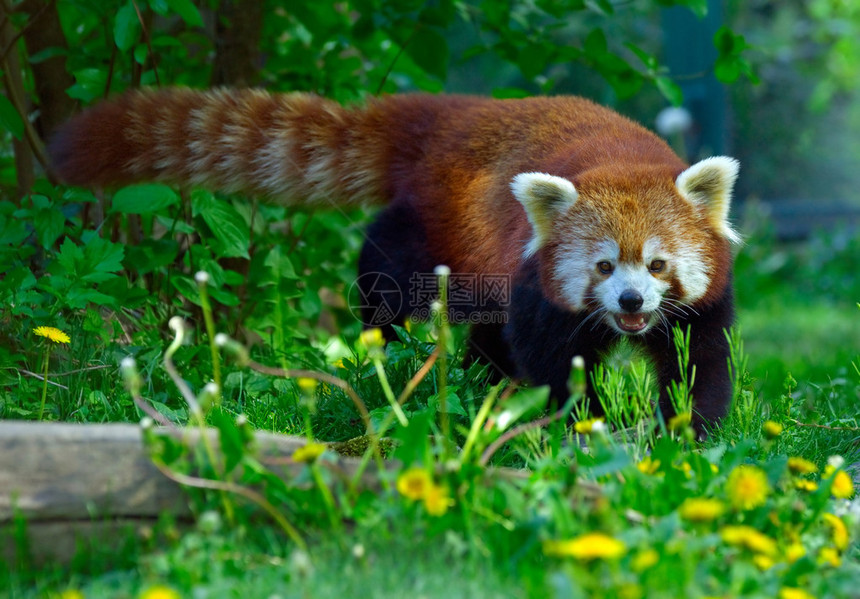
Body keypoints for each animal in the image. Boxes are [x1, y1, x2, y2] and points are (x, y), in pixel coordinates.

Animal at [50, 89, 744, 434]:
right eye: (603, 267)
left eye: (657, 266)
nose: (630, 302)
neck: (620, 156)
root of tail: (452, 115)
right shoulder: (539, 286)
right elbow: (552, 362)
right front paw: (582, 424)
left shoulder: (700, 304)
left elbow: (699, 360)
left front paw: (691, 432)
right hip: (430, 233)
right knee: (392, 294)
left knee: (485, 335)